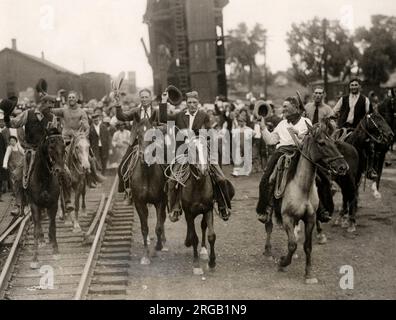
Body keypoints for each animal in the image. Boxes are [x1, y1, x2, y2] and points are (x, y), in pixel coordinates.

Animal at [25, 129, 65, 268]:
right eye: (51, 146)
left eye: (64, 146)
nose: (59, 170)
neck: (43, 178)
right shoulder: (34, 205)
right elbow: (36, 230)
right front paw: (34, 258)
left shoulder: (53, 204)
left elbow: (53, 227)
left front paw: (56, 250)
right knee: (39, 222)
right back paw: (42, 239)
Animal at [264, 122, 348, 282]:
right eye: (321, 143)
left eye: (334, 142)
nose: (343, 167)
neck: (302, 187)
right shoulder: (287, 218)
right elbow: (292, 245)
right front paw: (283, 263)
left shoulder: (310, 218)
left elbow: (307, 246)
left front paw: (308, 274)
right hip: (270, 209)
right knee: (269, 226)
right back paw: (268, 251)